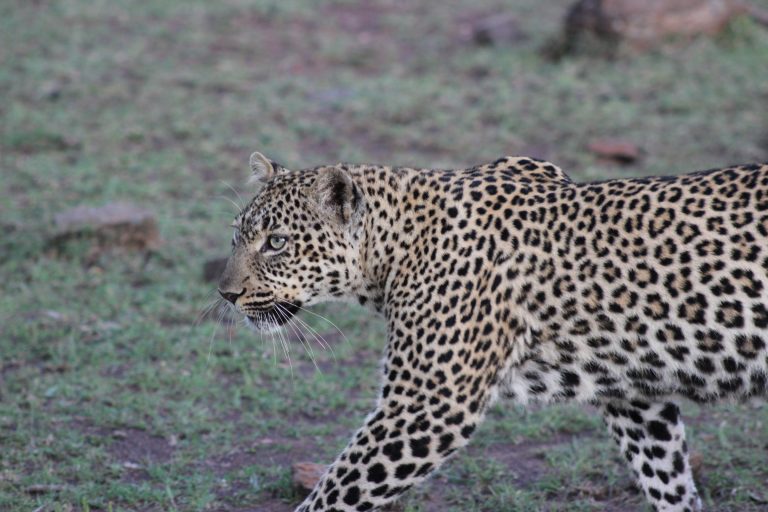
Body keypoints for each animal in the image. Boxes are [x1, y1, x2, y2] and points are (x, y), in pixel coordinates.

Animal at [217, 151, 768, 512]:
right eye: (237, 235)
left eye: (277, 243)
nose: (226, 294)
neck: (392, 251)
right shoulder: (633, 393)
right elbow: (667, 478)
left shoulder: (427, 405)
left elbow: (334, 493)